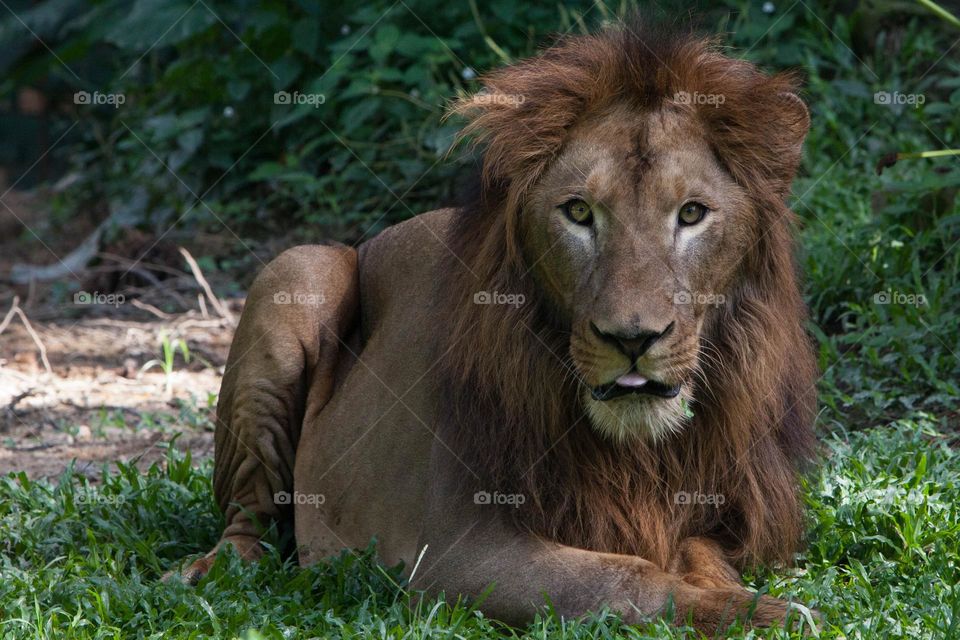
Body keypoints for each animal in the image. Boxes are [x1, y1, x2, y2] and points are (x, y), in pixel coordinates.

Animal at [170, 18, 819, 635]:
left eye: (691, 214)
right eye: (578, 212)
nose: (632, 339)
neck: (637, 452)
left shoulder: (715, 516)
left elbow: (699, 558)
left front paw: (742, 599)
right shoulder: (455, 553)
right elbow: (624, 578)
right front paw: (773, 616)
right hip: (297, 269)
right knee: (247, 516)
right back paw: (215, 571)